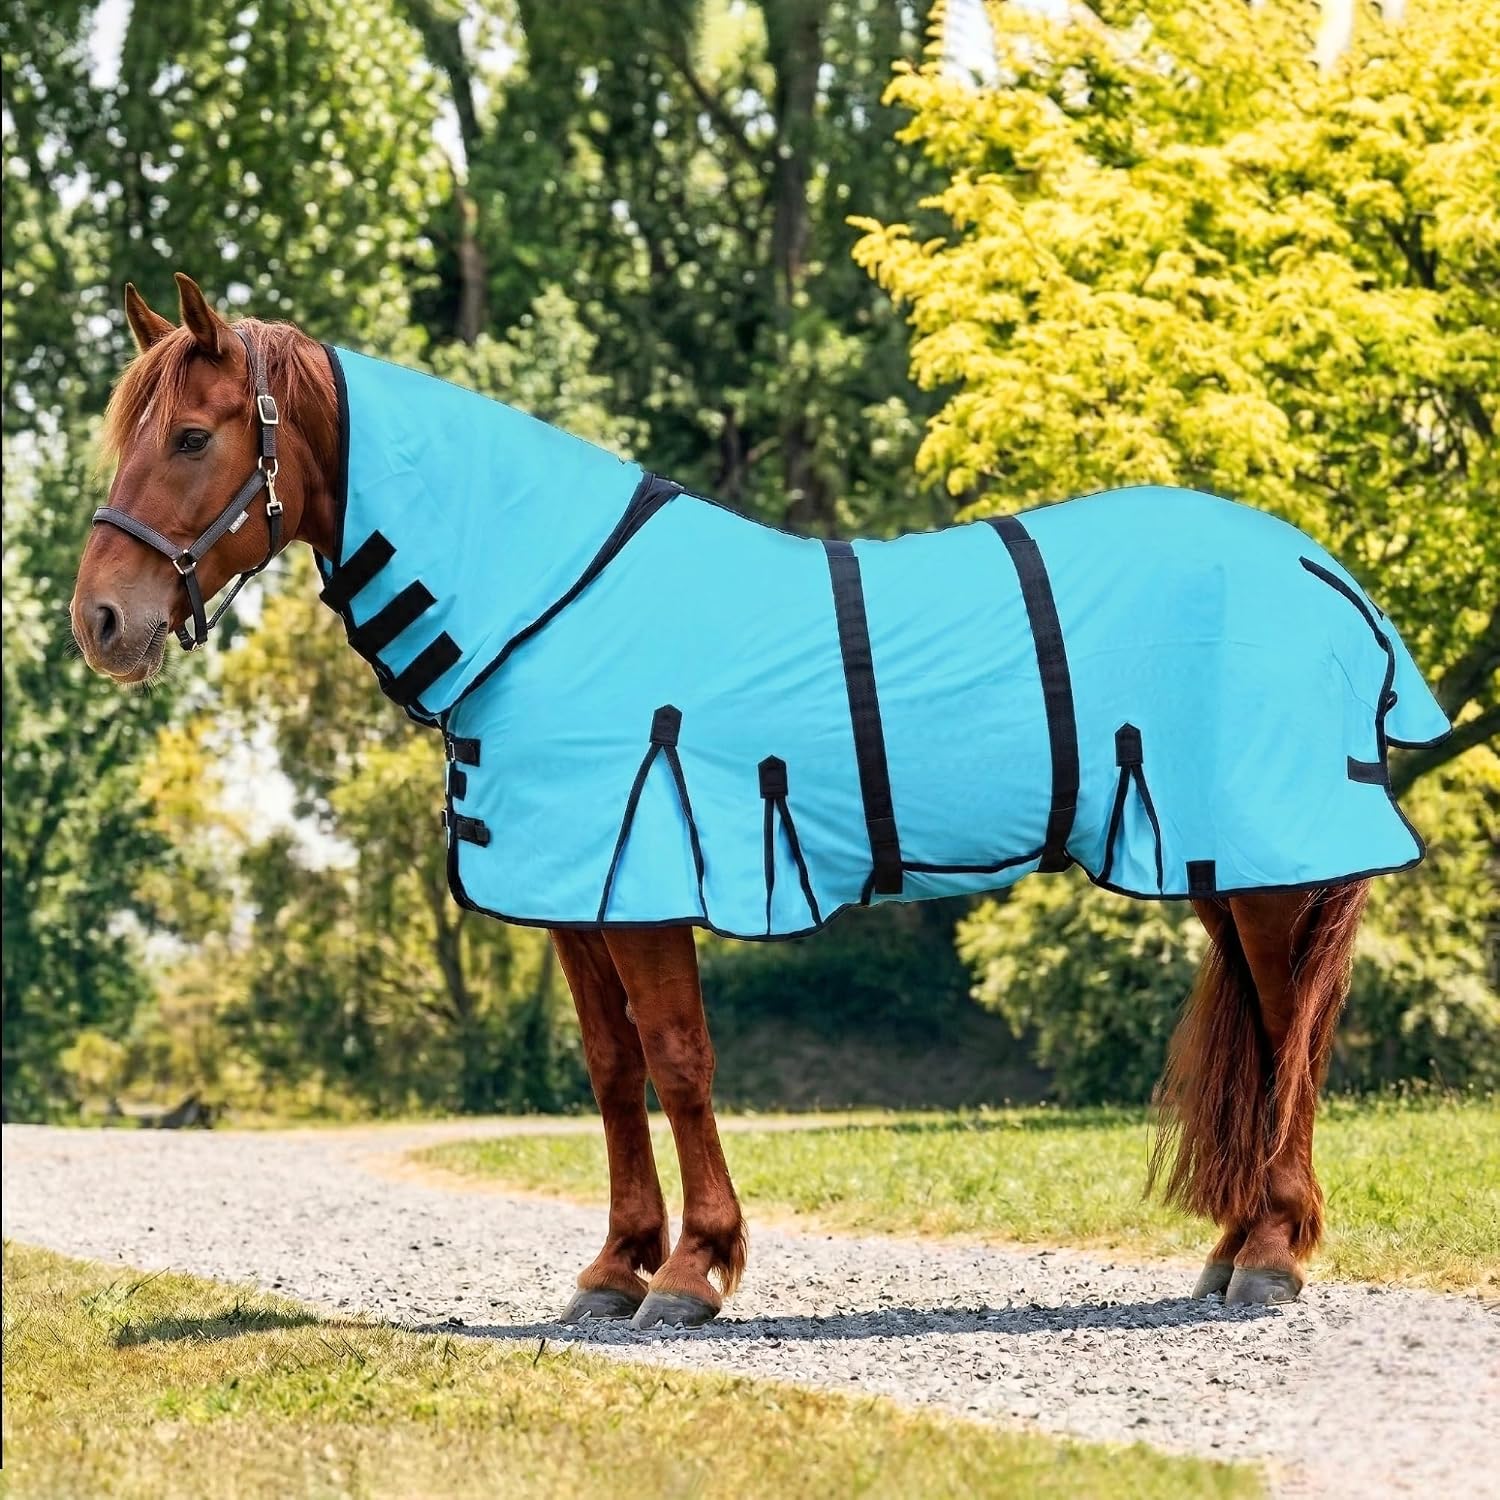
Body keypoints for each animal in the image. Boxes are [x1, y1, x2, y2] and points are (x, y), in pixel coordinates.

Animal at [71, 274, 1444, 1327]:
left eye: (191, 437)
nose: (102, 623)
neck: (552, 595)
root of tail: (1320, 569)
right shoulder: (576, 898)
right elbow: (611, 1068)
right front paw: (615, 1267)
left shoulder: (644, 885)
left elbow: (680, 1061)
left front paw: (695, 1269)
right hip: (1224, 864)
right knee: (1269, 1032)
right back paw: (1233, 1247)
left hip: (1265, 864)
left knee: (1297, 1031)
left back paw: (1272, 1256)